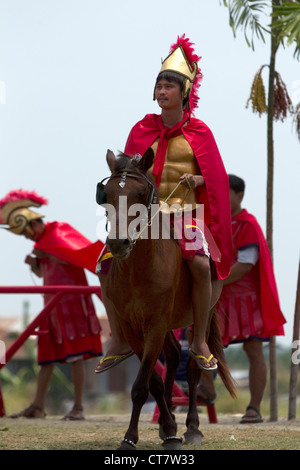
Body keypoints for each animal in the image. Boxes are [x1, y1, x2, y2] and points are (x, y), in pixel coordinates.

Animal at [97, 149, 236, 450]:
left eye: (140, 193)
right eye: (108, 193)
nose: (118, 243)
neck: (138, 268)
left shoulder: (156, 324)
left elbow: (141, 385)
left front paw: (167, 434)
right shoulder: (134, 328)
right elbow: (153, 383)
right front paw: (160, 429)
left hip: (201, 313)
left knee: (193, 367)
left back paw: (192, 427)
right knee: (172, 355)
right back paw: (166, 418)